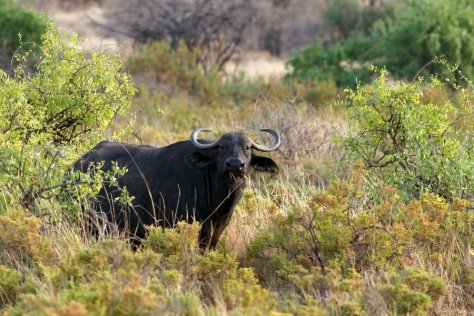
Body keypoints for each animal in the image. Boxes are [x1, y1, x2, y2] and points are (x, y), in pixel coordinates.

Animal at [74, 128, 280, 249]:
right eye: (222, 147)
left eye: (247, 148)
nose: (235, 164)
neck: (218, 203)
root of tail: (78, 164)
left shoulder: (217, 229)